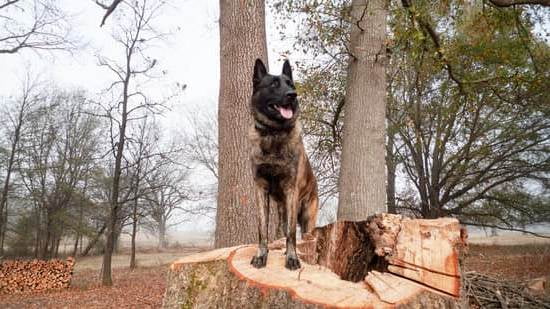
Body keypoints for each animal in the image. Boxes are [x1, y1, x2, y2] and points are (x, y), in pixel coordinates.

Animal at [250, 58, 320, 270]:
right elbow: (262, 229)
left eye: (290, 84)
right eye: (274, 85)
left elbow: (291, 233)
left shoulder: (291, 190)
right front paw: (261, 255)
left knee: (303, 234)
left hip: (306, 215)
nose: (292, 95)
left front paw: (292, 258)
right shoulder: (260, 189)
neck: (274, 133)